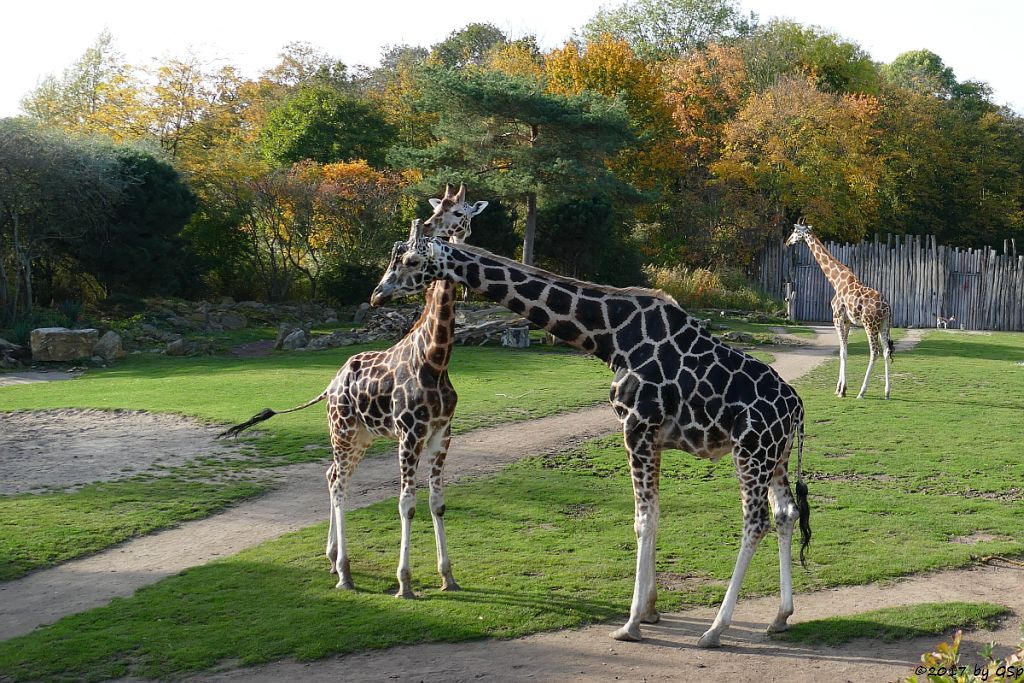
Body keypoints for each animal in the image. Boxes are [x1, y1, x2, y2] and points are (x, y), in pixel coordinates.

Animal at [219, 184, 487, 593]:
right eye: (439, 210)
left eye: (462, 211)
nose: (433, 228)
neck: (436, 359)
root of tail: (330, 385)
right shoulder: (409, 434)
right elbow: (406, 504)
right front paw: (405, 583)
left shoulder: (442, 433)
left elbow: (436, 502)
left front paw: (448, 576)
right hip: (342, 431)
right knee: (339, 485)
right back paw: (344, 571)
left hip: (362, 437)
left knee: (333, 476)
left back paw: (333, 559)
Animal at [372, 227, 811, 651]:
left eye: (410, 261)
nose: (378, 293)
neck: (610, 338)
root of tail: (796, 407)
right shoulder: (652, 437)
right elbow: (655, 515)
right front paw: (650, 610)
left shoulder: (636, 426)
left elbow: (642, 520)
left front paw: (630, 624)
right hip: (775, 457)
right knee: (786, 514)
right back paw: (779, 617)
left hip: (751, 451)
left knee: (755, 521)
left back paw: (715, 630)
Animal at [786, 220, 892, 401]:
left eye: (795, 232)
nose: (787, 242)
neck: (836, 281)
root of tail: (886, 307)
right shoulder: (847, 321)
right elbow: (844, 350)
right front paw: (841, 388)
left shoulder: (836, 318)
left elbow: (842, 351)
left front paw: (841, 391)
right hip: (883, 325)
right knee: (885, 351)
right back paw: (887, 392)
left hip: (870, 325)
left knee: (875, 352)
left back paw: (862, 392)